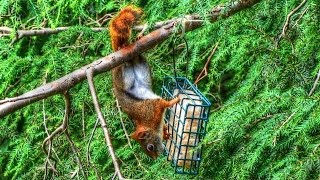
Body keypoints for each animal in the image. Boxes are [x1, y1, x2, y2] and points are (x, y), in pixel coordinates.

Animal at [110, 5, 180, 159]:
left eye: (150, 147)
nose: (155, 158)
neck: (147, 122)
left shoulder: (154, 107)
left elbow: (164, 103)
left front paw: (174, 101)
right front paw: (166, 133)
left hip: (123, 75)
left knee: (126, 63)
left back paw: (137, 39)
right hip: (140, 67)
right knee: (136, 58)